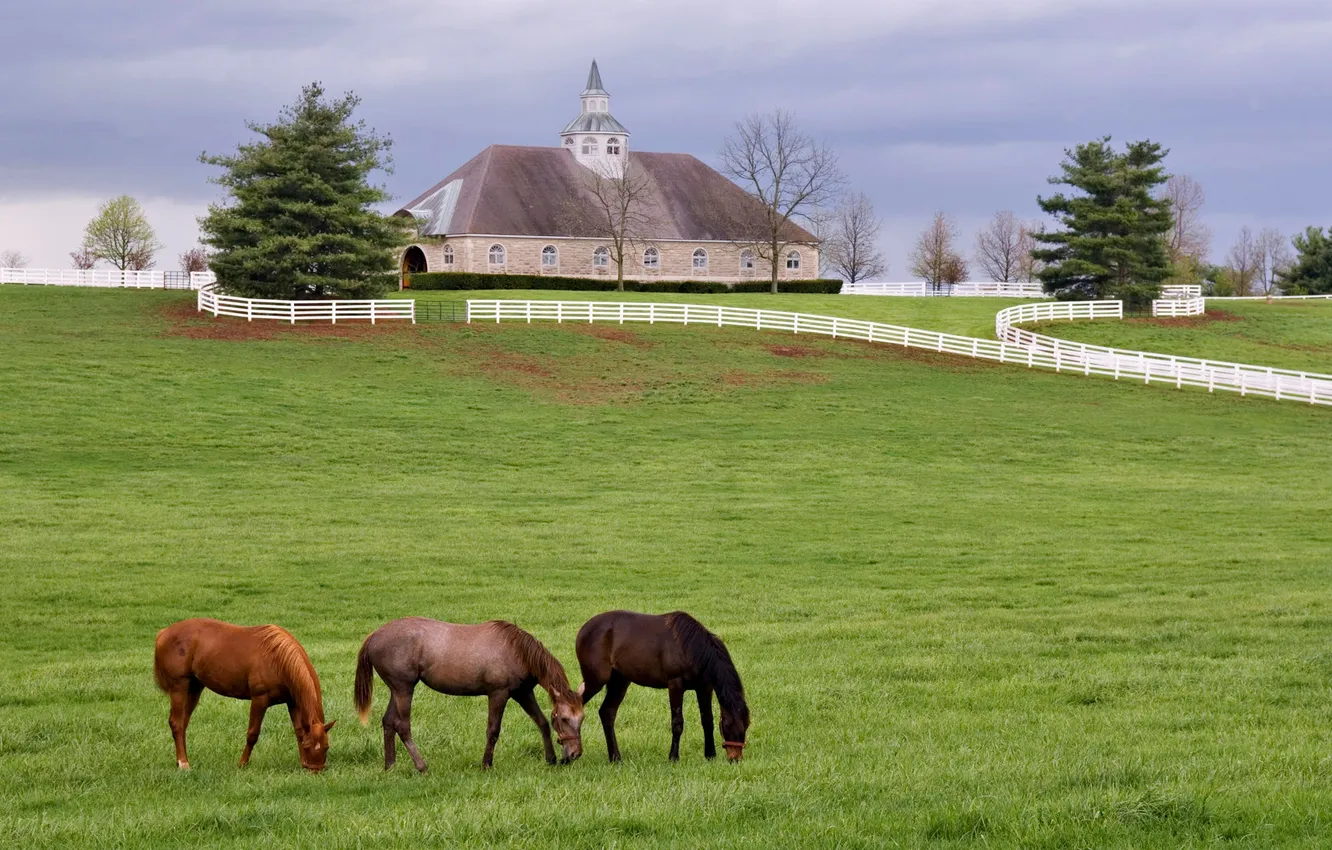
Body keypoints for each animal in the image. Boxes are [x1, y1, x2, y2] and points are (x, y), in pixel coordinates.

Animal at [153, 618, 335, 771]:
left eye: (326, 746)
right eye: (308, 746)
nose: (315, 769)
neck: (278, 659)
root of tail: (163, 632)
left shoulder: (293, 702)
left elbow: (298, 731)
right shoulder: (260, 700)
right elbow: (252, 734)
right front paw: (242, 763)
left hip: (194, 688)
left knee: (183, 723)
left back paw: (181, 760)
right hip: (179, 687)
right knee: (176, 723)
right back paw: (184, 763)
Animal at [353, 617, 584, 771]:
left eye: (581, 718)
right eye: (564, 718)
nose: (575, 754)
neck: (517, 651)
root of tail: (373, 636)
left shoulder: (523, 693)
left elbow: (542, 722)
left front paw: (550, 758)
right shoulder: (499, 694)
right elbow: (493, 731)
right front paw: (486, 764)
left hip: (397, 690)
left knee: (388, 722)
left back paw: (390, 765)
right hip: (404, 689)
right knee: (402, 726)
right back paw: (421, 766)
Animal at [575, 610, 751, 762]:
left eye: (746, 725)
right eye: (728, 725)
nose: (735, 758)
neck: (691, 647)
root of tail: (584, 629)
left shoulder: (704, 687)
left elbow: (707, 720)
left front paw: (710, 755)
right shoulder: (675, 685)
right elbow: (677, 723)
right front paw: (673, 757)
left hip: (619, 682)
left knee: (607, 713)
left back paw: (615, 757)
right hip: (595, 681)